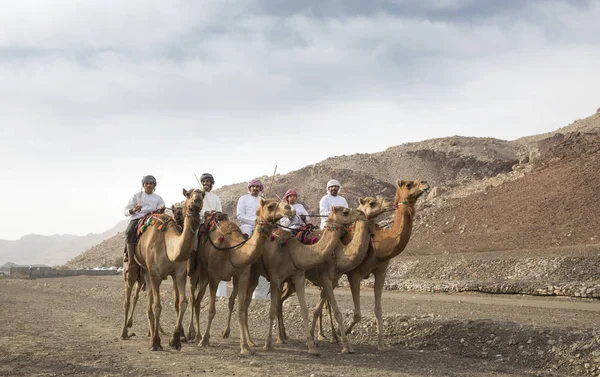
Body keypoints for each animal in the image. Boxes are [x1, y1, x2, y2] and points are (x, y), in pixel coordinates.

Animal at [134, 188, 204, 350]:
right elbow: (158, 306)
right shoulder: (155, 274)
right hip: (139, 269)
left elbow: (182, 302)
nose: (197, 198)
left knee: (149, 303)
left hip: (147, 274)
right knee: (137, 299)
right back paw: (129, 332)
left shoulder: (179, 274)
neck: (168, 245)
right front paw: (155, 342)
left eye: (203, 194)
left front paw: (176, 340)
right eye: (189, 194)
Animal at [185, 197, 292, 352]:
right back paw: (193, 334)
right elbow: (211, 310)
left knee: (200, 300)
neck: (234, 250)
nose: (289, 208)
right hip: (197, 271)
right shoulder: (215, 277)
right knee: (193, 298)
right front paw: (205, 339)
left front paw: (245, 346)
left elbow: (241, 310)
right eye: (270, 206)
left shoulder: (242, 277)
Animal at [278, 197, 396, 350]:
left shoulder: (332, 281)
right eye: (371, 202)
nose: (389, 202)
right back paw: (280, 338)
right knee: (278, 299)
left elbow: (317, 309)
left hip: (291, 281)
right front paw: (345, 345)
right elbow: (337, 312)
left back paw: (284, 336)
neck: (339, 253)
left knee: (280, 299)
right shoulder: (325, 278)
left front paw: (316, 338)